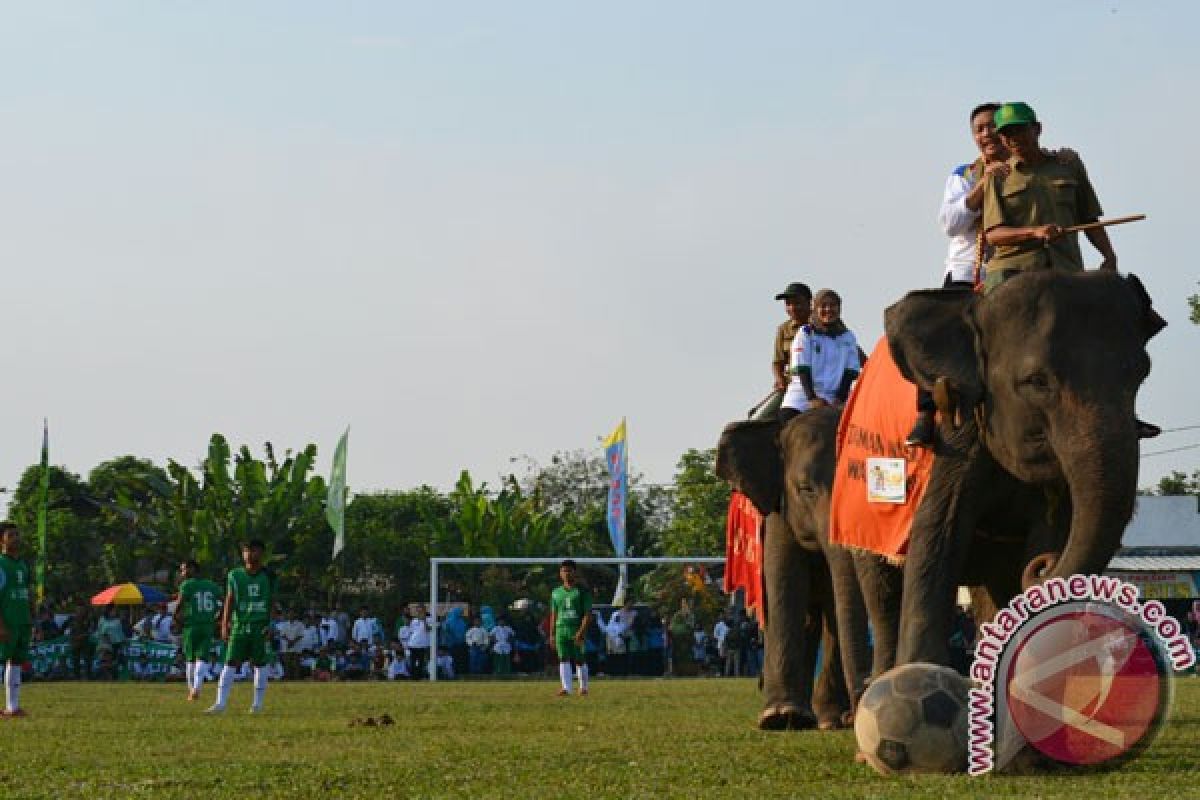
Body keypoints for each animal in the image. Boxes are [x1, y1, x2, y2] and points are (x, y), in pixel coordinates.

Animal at [715, 267, 1156, 724]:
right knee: (867, 597)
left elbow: (1048, 529)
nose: (1044, 567)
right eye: (1036, 381)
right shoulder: (950, 433)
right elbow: (938, 532)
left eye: (1140, 375)